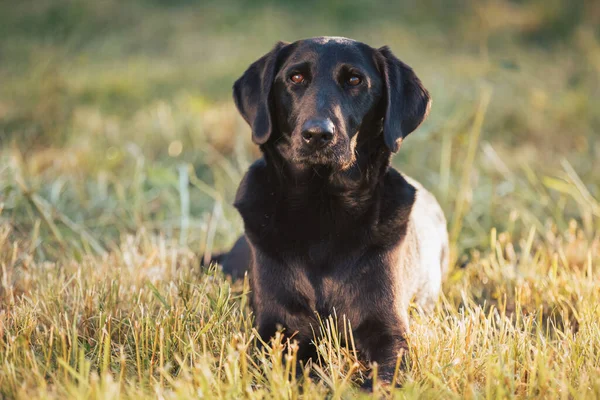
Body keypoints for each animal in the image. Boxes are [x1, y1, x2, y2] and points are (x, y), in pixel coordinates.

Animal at [218, 37, 448, 388]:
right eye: (295, 78)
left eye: (355, 80)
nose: (318, 134)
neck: (322, 209)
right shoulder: (275, 329)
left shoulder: (389, 330)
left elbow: (383, 379)